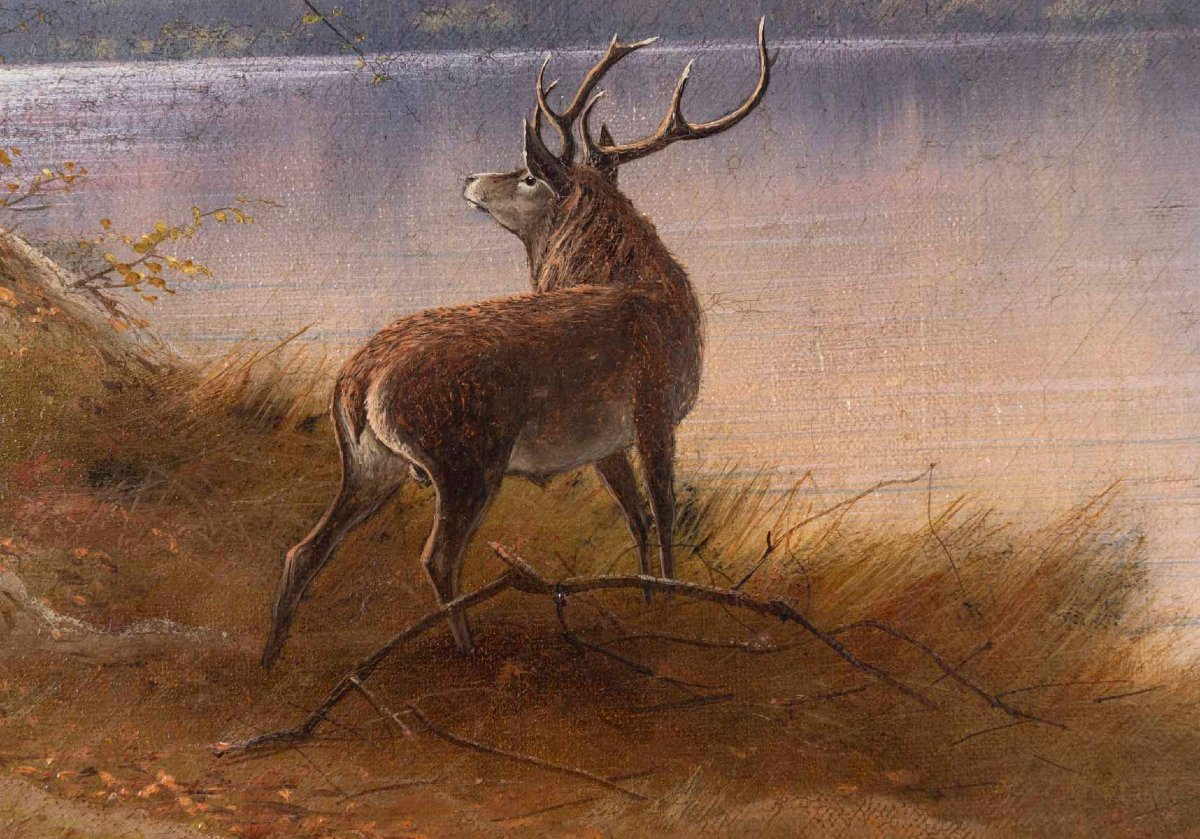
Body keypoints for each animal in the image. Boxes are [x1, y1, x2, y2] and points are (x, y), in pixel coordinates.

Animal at [260, 20, 771, 669]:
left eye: (528, 175)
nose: (470, 178)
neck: (656, 296)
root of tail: (356, 380)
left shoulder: (614, 436)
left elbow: (641, 519)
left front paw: (652, 602)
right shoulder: (654, 411)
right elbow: (664, 513)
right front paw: (674, 606)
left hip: (370, 465)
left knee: (304, 550)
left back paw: (270, 660)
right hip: (465, 457)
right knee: (437, 557)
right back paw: (466, 650)